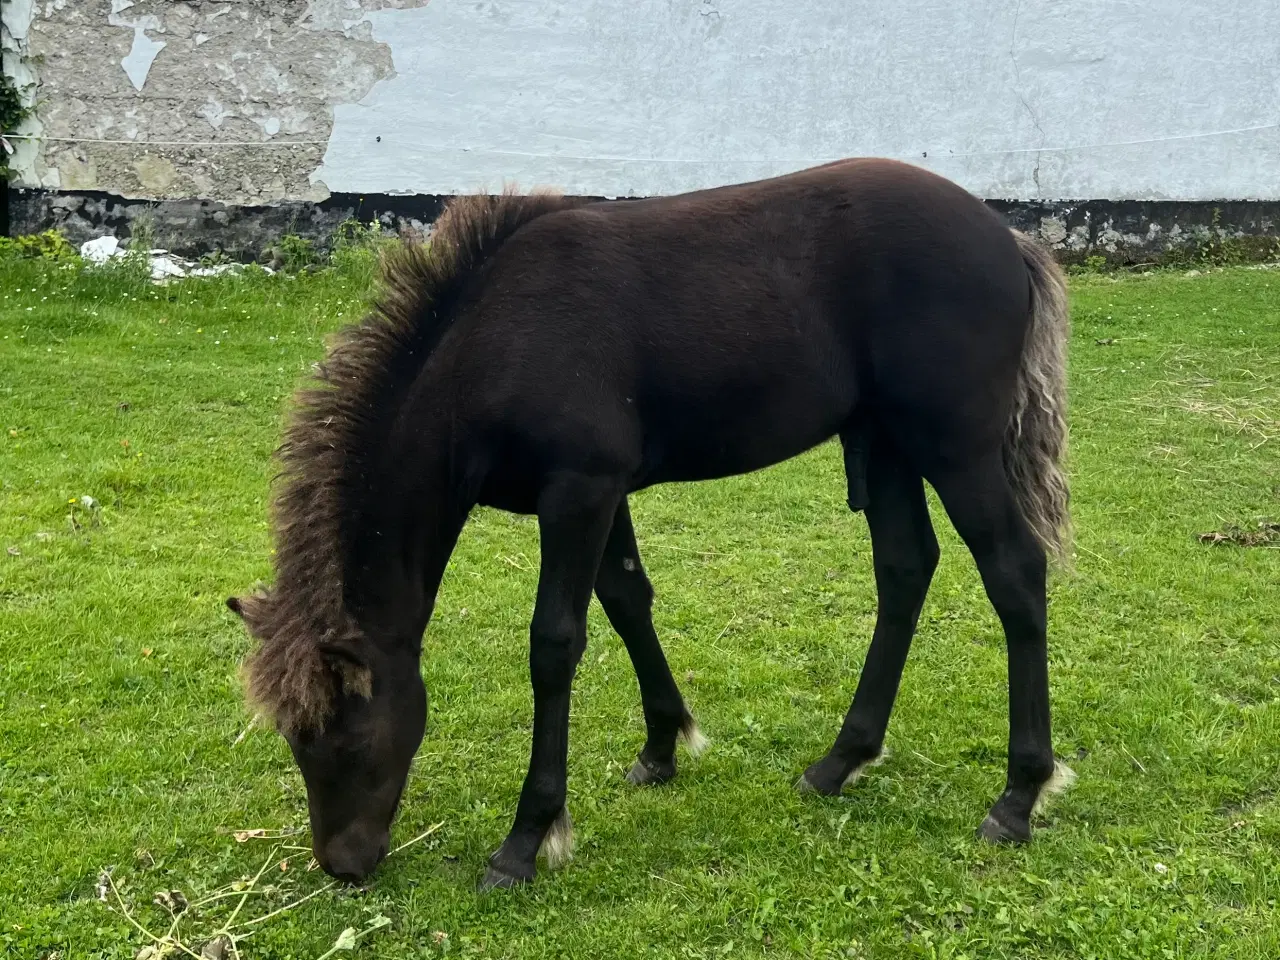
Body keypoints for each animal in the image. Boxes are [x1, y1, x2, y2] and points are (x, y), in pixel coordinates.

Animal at [227, 158, 1070, 885]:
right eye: (294, 737)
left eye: (341, 731)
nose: (343, 865)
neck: (490, 342)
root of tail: (1008, 239)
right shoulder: (602, 493)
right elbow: (629, 600)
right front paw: (663, 744)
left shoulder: (578, 491)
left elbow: (555, 644)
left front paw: (528, 838)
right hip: (886, 440)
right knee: (904, 569)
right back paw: (841, 760)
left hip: (953, 445)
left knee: (1015, 572)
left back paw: (1019, 795)